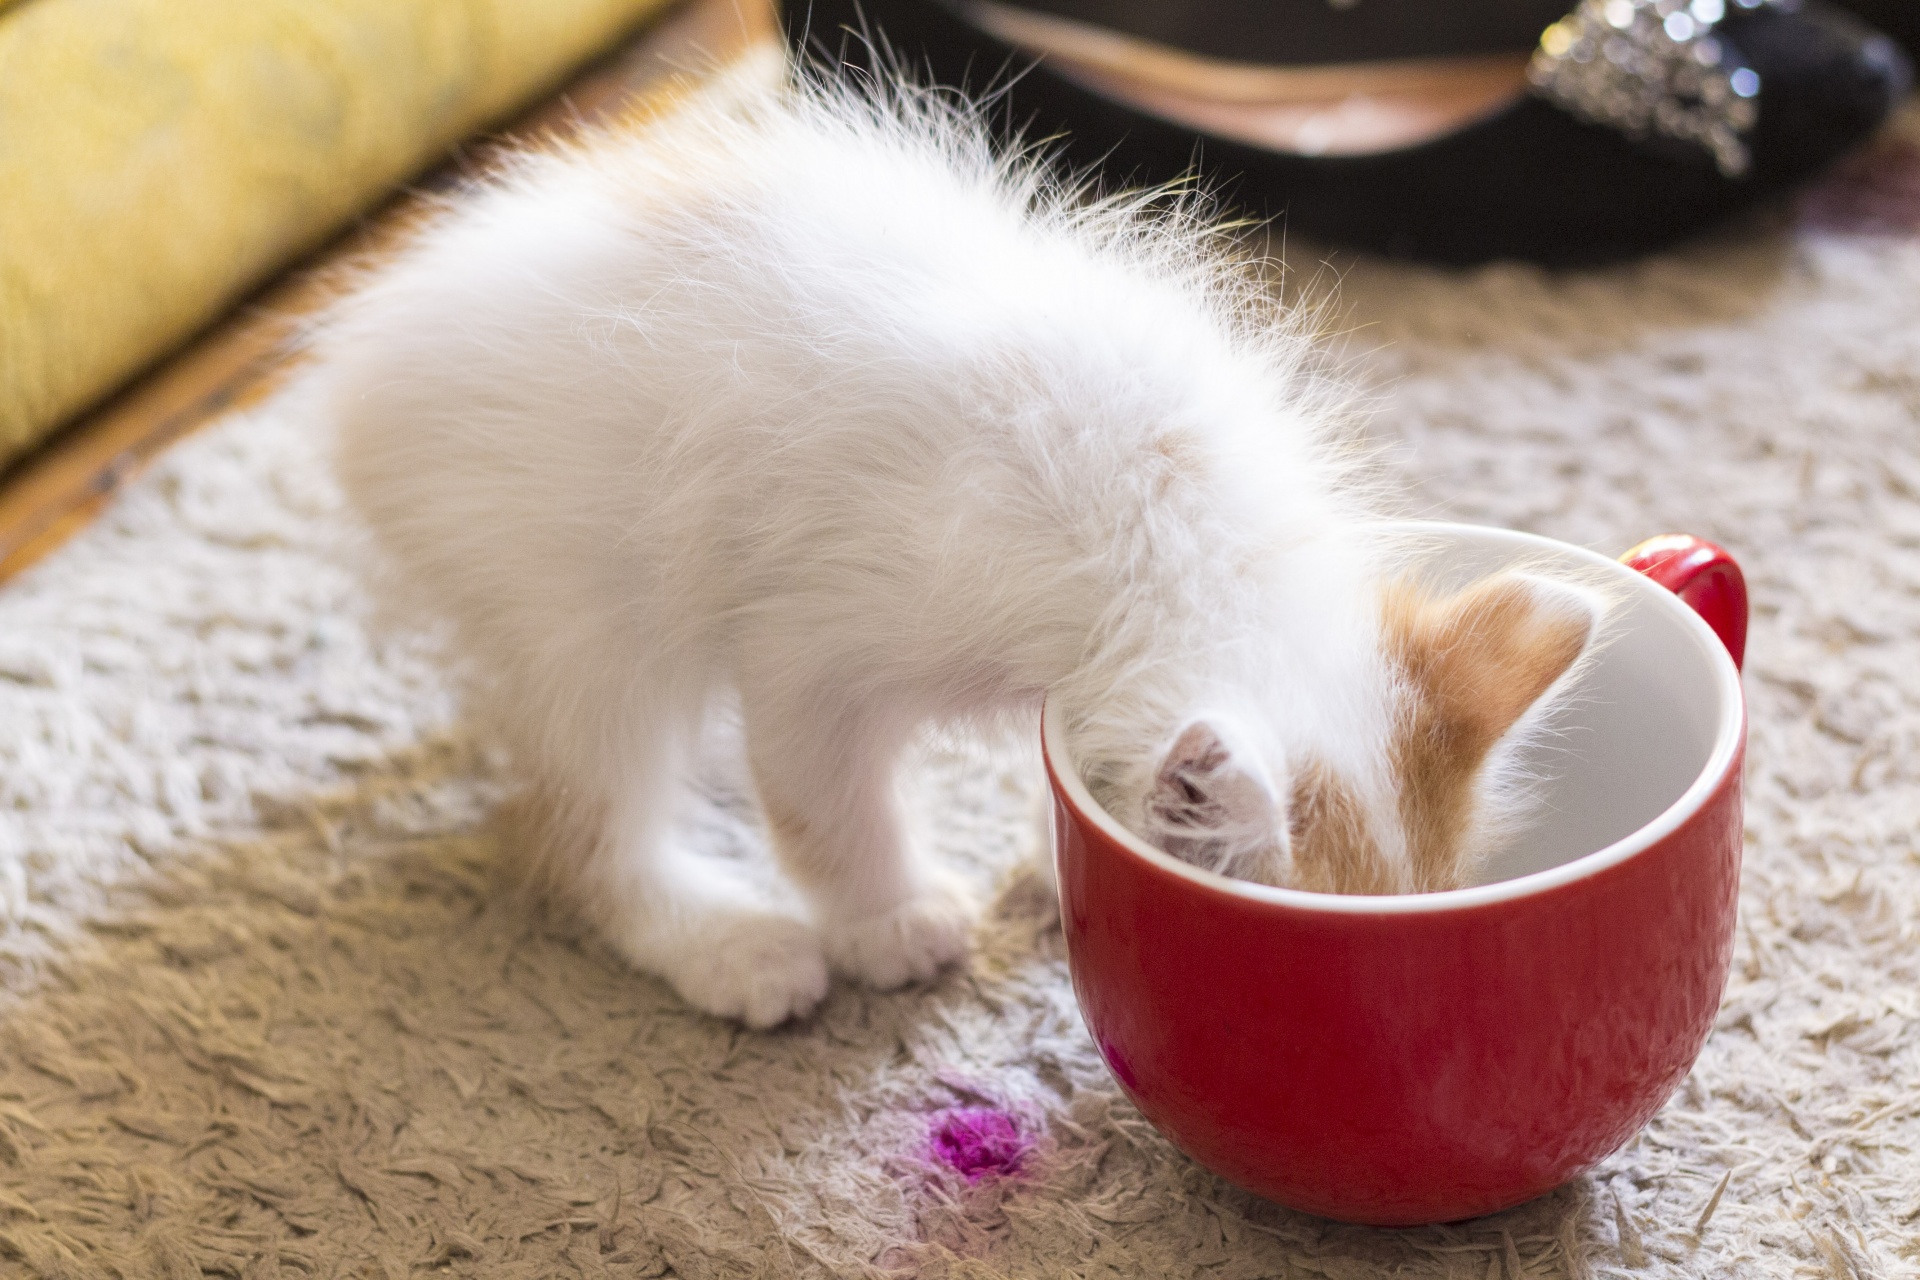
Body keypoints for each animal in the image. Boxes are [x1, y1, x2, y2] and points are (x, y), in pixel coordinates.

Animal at [318, 65, 1605, 1028]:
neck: (1178, 524)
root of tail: (364, 362)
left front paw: (1048, 851)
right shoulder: (816, 633)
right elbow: (824, 798)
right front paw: (884, 918)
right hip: (576, 598)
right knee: (579, 826)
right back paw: (726, 939)